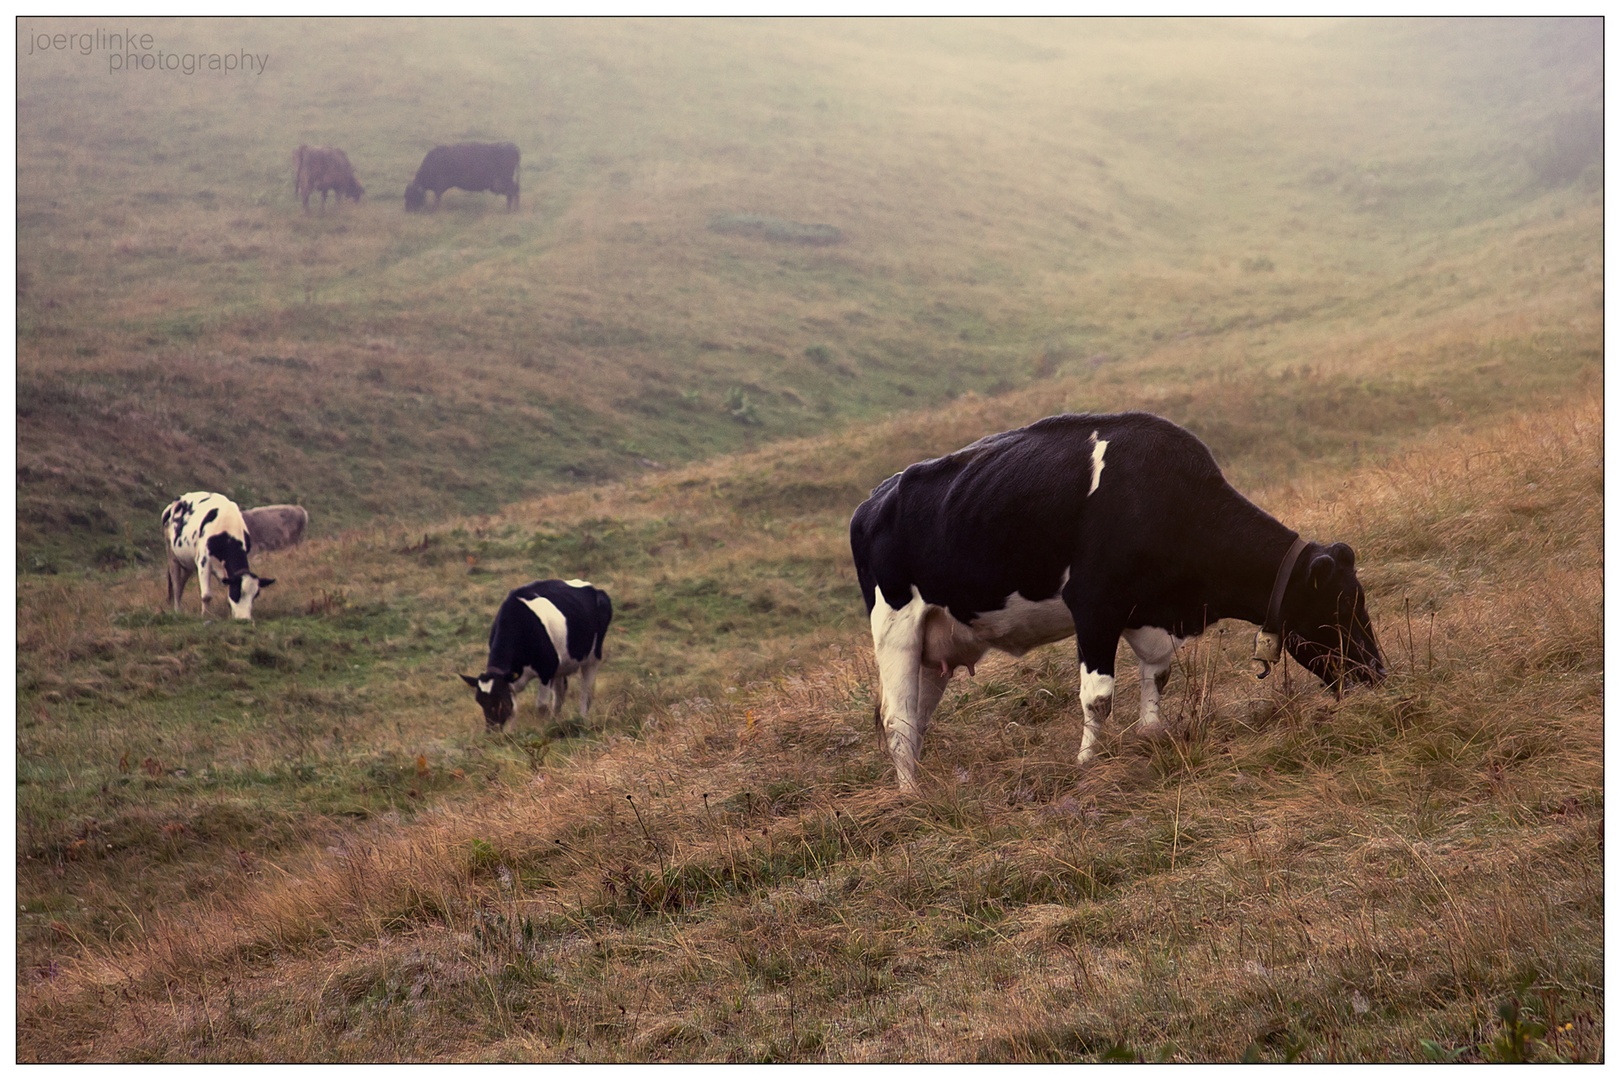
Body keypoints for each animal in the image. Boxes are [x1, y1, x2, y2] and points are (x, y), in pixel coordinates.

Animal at [161, 492, 275, 621]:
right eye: (236, 591)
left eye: (255, 595)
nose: (244, 618)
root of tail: (177, 500)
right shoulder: (203, 560)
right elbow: (206, 595)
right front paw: (205, 615)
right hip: (171, 551)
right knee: (175, 582)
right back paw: (177, 610)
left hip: (187, 560)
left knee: (181, 582)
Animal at [463, 582, 612, 735]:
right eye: (479, 701)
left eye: (500, 700)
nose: (492, 731)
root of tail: (593, 588)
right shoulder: (511, 681)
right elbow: (514, 709)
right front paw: (511, 733)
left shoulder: (546, 670)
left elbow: (541, 705)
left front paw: (542, 731)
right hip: (561, 666)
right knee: (560, 694)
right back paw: (556, 723)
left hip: (593, 658)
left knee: (586, 692)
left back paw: (583, 723)